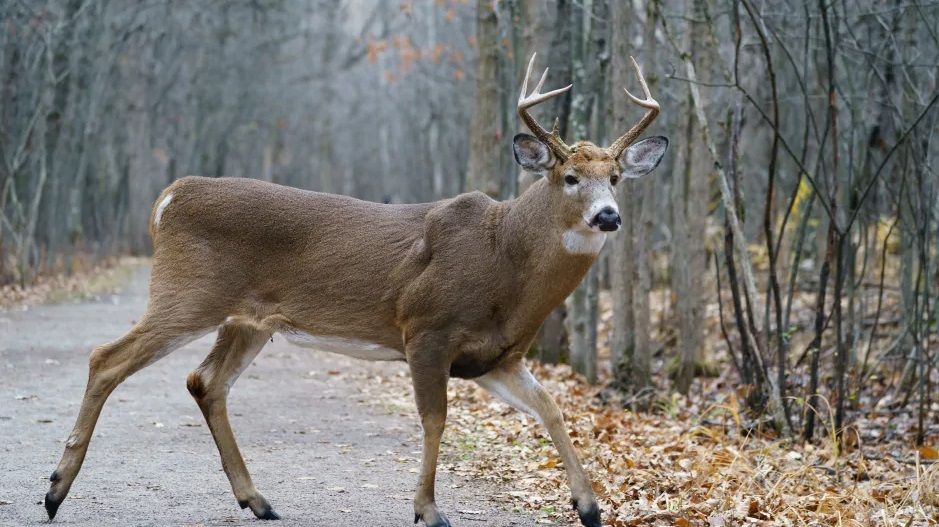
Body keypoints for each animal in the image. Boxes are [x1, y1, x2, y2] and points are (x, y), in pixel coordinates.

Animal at [40, 54, 664, 527]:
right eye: (570, 177)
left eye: (615, 178)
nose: (608, 217)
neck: (503, 258)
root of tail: (168, 197)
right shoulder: (425, 327)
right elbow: (434, 419)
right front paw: (427, 510)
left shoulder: (496, 359)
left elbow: (552, 410)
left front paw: (590, 508)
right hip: (188, 293)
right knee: (106, 358)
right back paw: (54, 490)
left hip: (248, 320)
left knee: (205, 381)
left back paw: (257, 500)